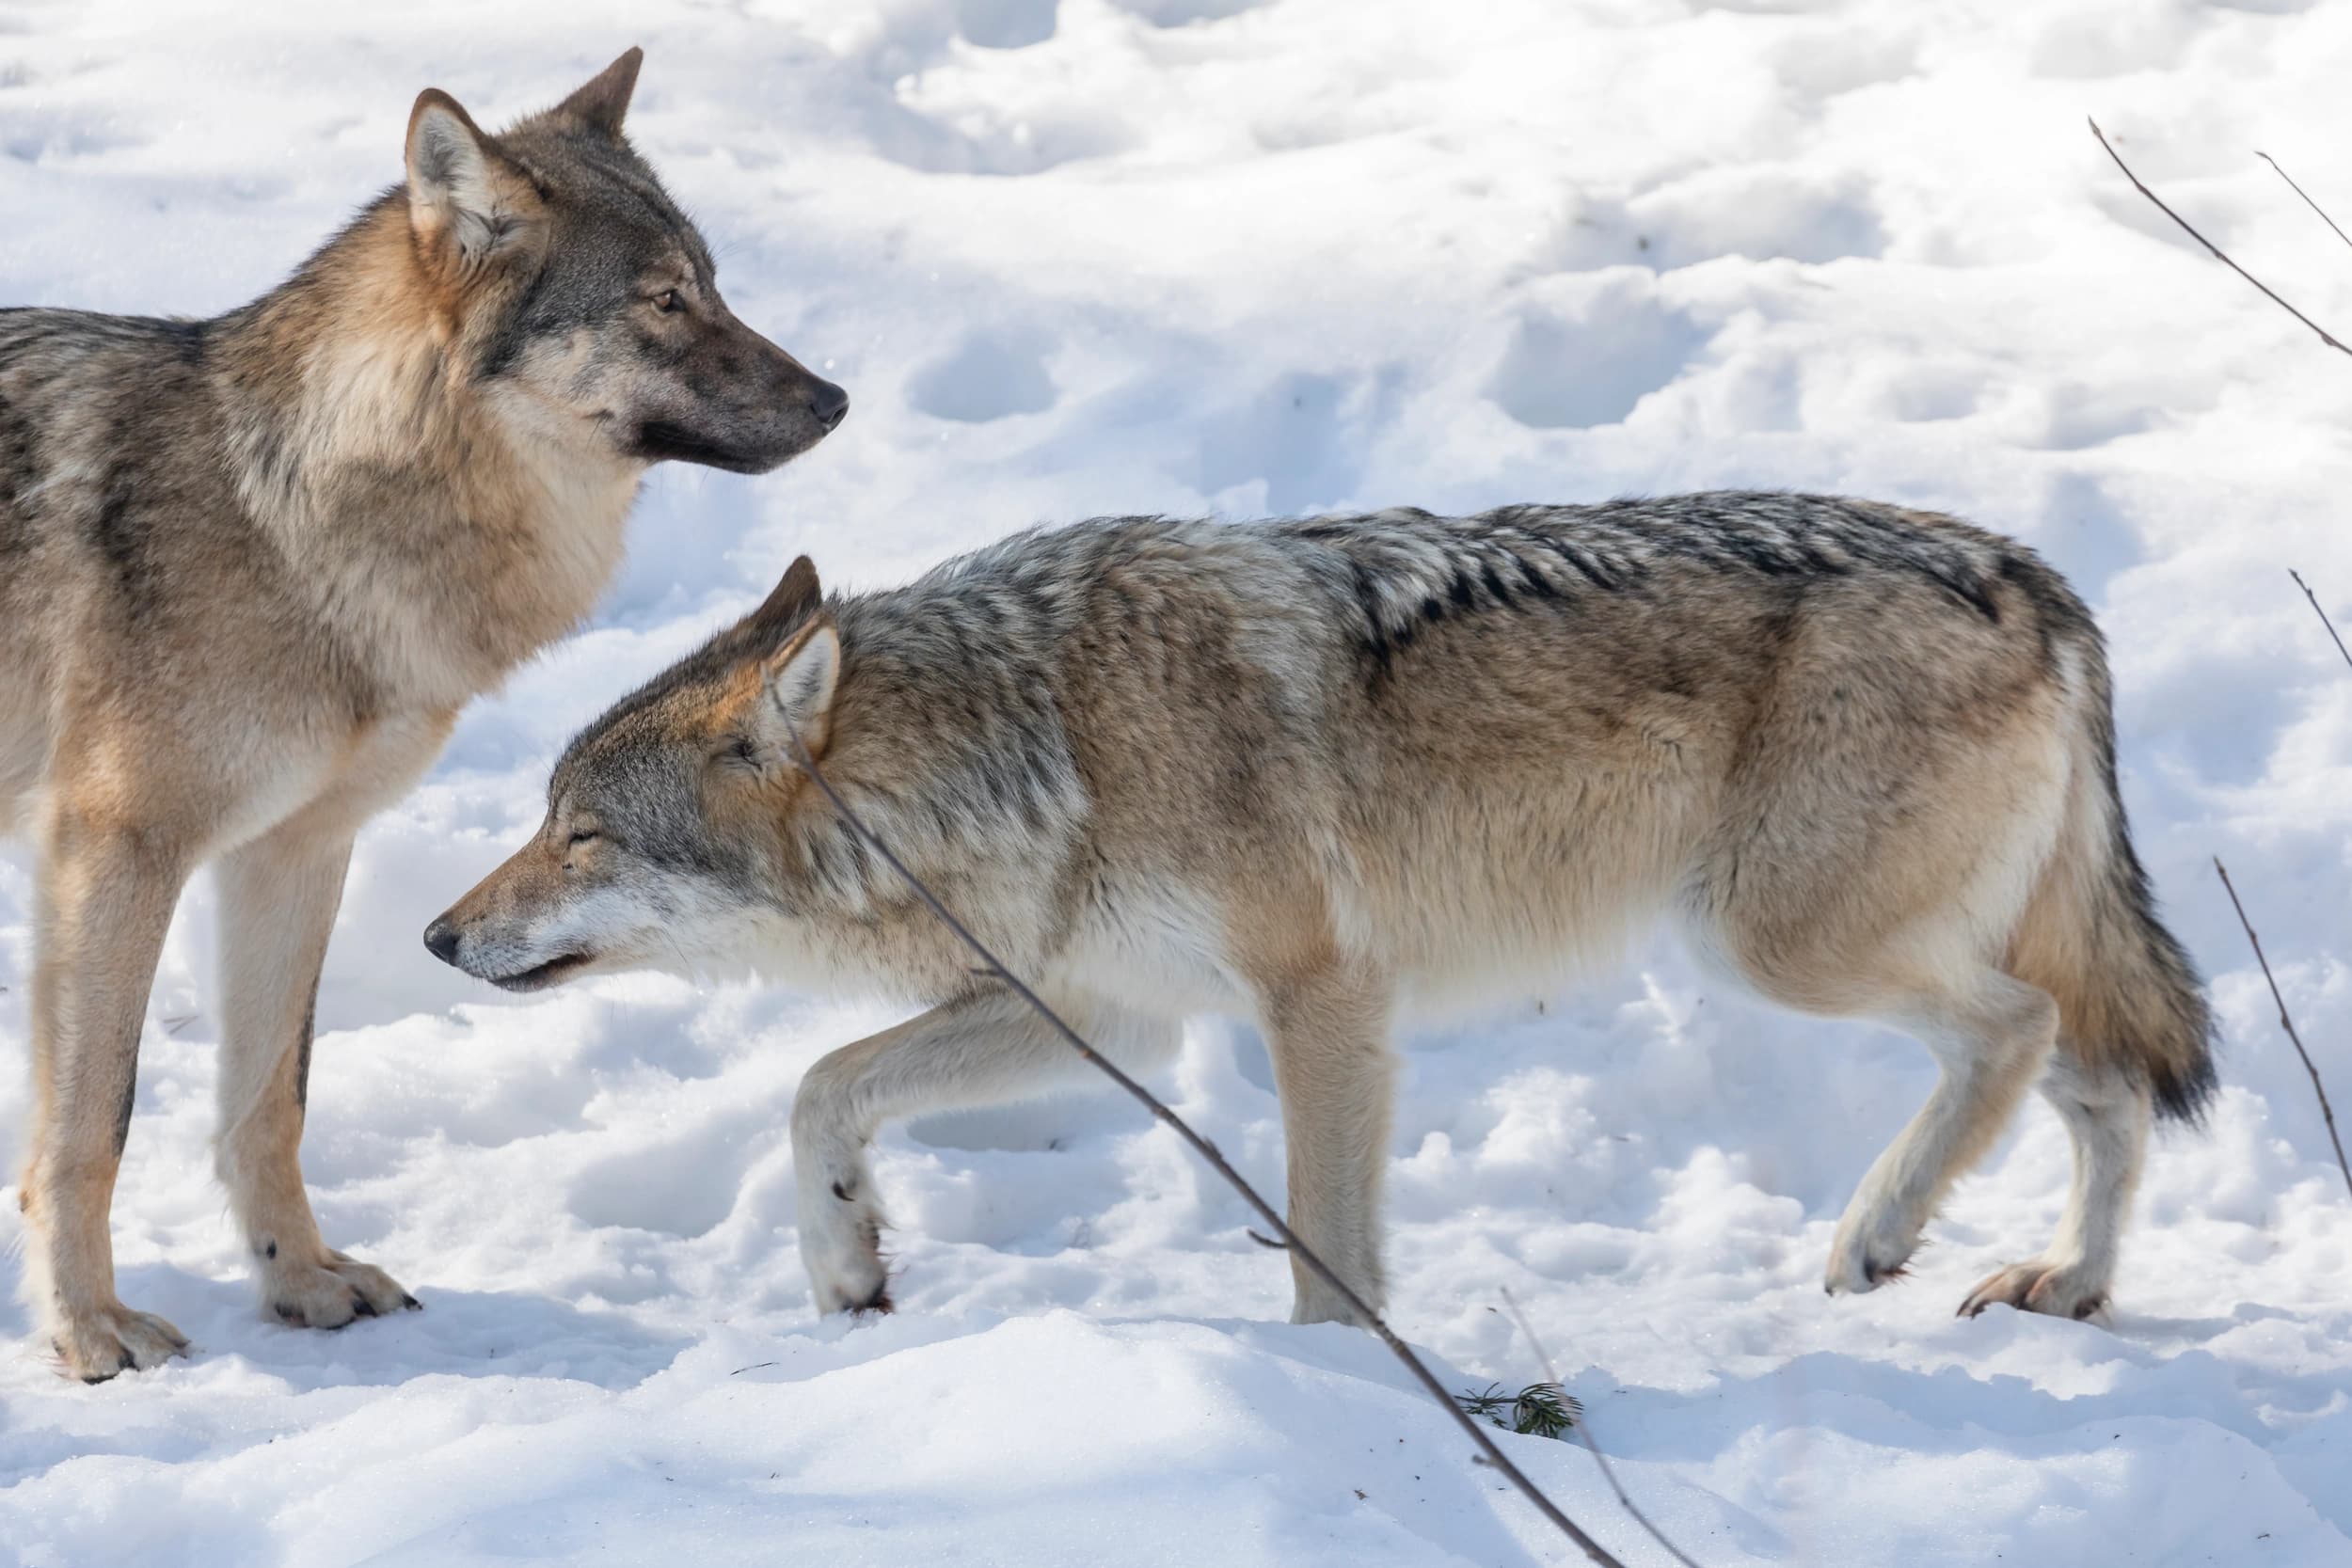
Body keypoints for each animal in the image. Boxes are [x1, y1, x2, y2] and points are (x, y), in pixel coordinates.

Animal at [1, 48, 846, 1380]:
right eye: (663, 300)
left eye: (712, 286)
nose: (835, 400)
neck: (287, 517)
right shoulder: (113, 852)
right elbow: (92, 1123)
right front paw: (87, 1330)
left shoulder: (295, 850)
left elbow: (270, 1098)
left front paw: (299, 1281)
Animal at [425, 494, 2214, 1327]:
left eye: (578, 833)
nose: (438, 936)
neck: (1047, 737)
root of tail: (2037, 576)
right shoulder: (1104, 1011)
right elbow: (818, 1088)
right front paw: (847, 1262)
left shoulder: (1324, 1000)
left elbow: (1324, 1247)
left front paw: (1339, 1388)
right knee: (2110, 1086)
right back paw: (2068, 1285)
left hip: (1775, 940)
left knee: (2022, 1035)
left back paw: (1879, 1230)